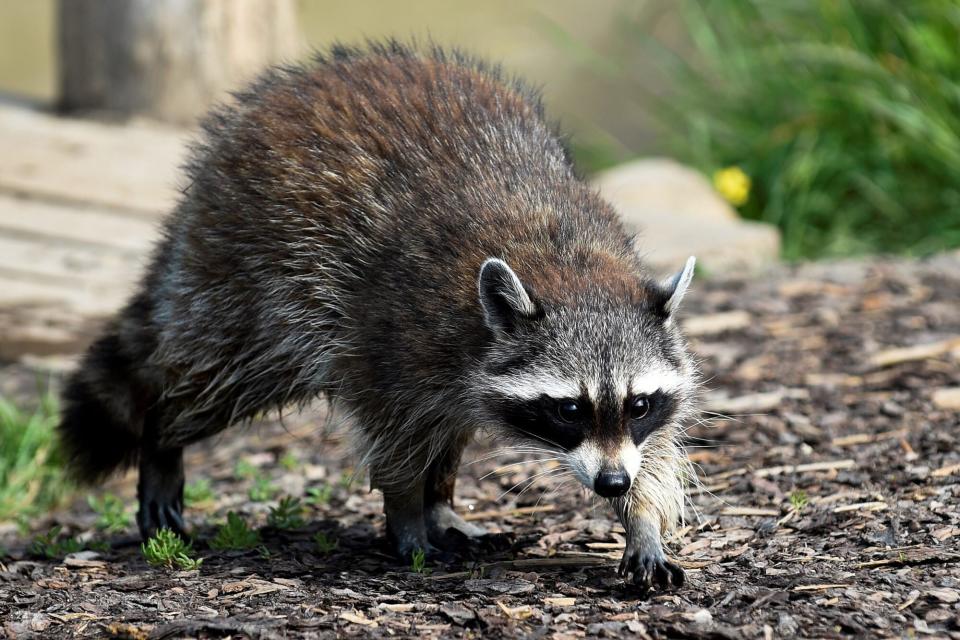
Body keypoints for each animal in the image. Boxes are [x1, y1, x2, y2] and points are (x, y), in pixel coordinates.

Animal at [58, 41, 696, 592]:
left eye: (639, 403)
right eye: (569, 409)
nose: (611, 482)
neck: (569, 266)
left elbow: (654, 452)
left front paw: (643, 519)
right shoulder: (393, 333)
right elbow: (393, 436)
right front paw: (406, 512)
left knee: (448, 423)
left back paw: (443, 502)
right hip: (249, 279)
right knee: (219, 378)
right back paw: (162, 439)